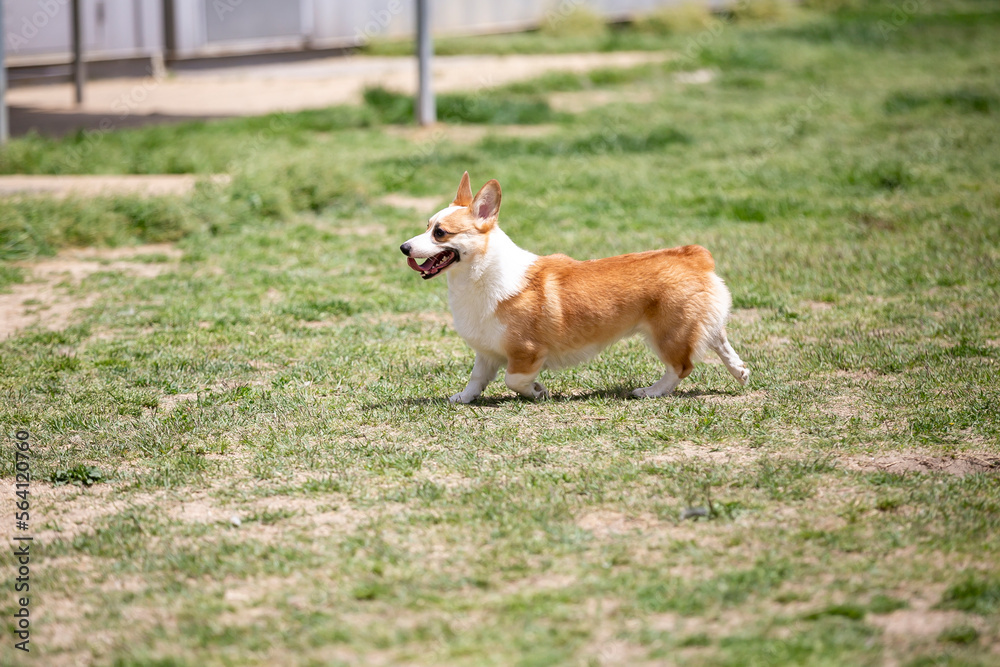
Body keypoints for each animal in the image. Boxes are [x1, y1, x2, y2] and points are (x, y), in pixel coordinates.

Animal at [400, 172, 752, 402]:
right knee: (718, 340)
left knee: (681, 366)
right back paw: (740, 372)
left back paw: (651, 391)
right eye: (426, 226)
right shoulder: (486, 352)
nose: (404, 248)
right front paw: (462, 397)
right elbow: (477, 378)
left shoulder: (526, 352)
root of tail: (693, 256)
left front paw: (537, 391)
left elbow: (513, 379)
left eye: (440, 233)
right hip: (692, 323)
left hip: (667, 333)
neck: (480, 276)